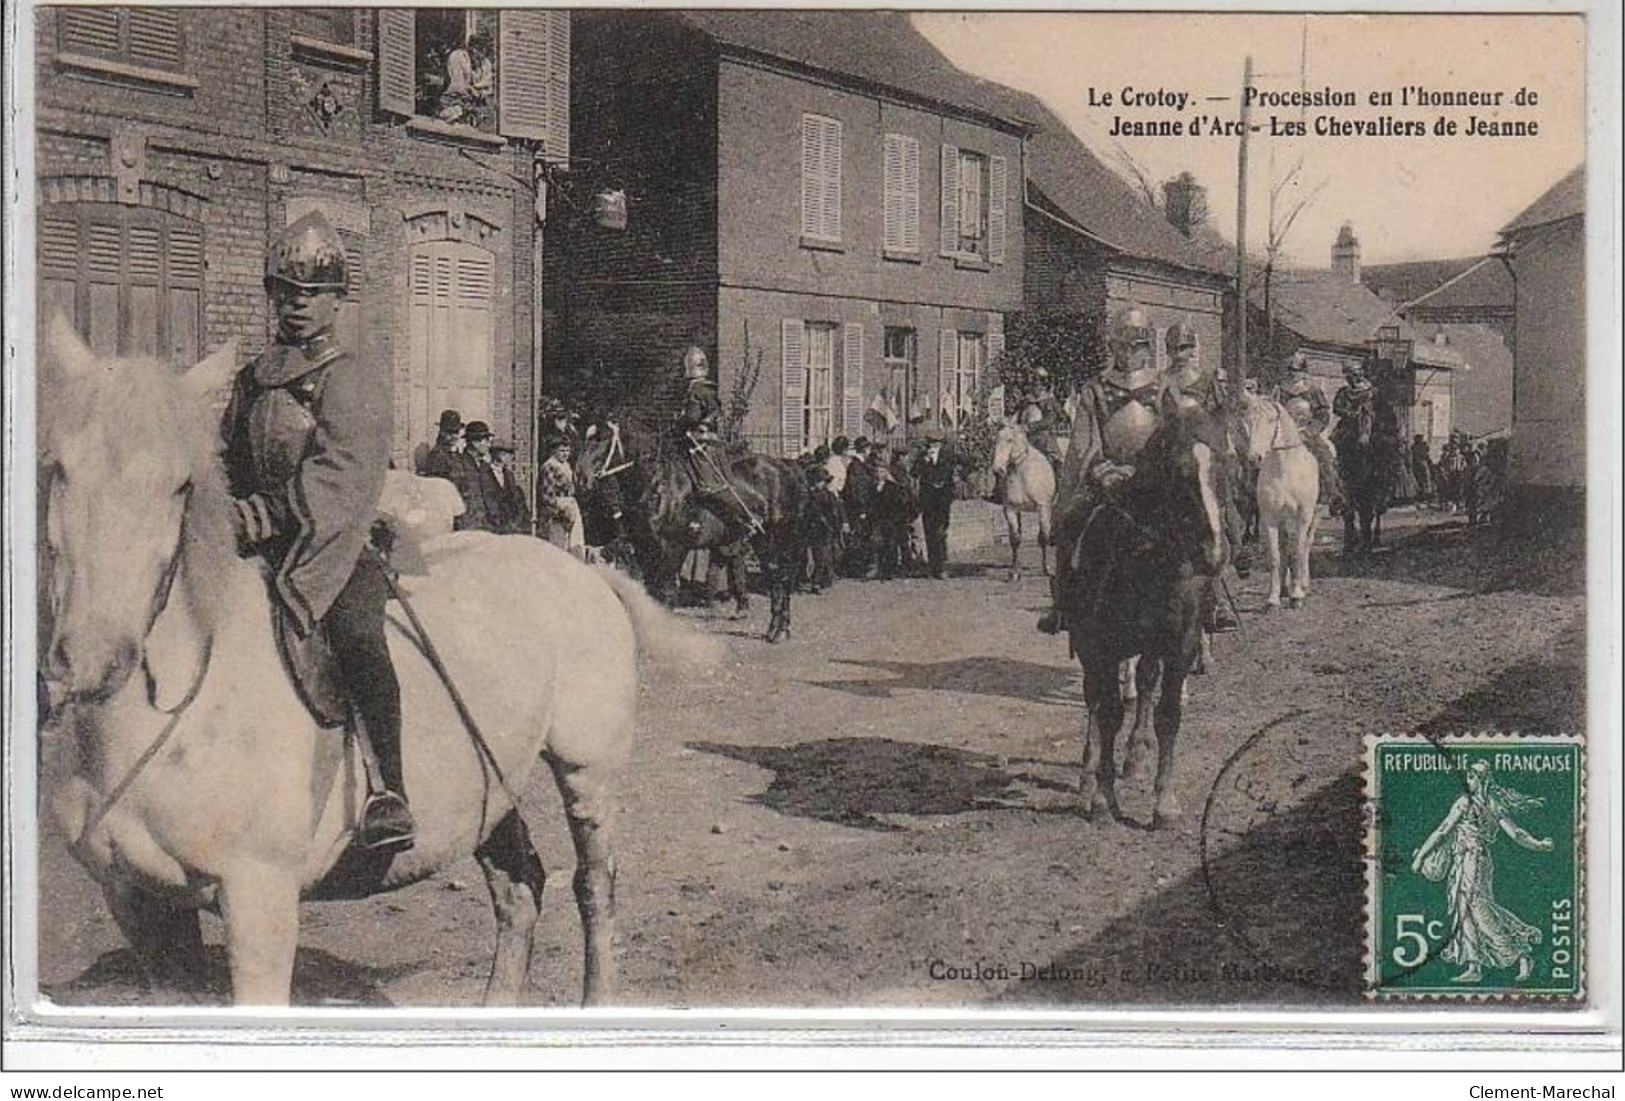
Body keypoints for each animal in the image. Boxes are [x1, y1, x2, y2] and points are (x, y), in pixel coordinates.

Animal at [34, 321, 711, 1006]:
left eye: (180, 486)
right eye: (58, 469)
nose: (91, 660)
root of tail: (584, 570)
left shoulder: (259, 901)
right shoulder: (139, 906)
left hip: (588, 773)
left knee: (594, 886)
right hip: (491, 786)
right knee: (520, 885)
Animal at [578, 425, 806, 646]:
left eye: (603, 440)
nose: (580, 476)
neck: (656, 487)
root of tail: (787, 470)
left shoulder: (673, 548)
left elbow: (665, 592)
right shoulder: (645, 551)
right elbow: (652, 591)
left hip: (779, 537)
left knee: (783, 577)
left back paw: (779, 631)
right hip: (762, 540)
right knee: (775, 576)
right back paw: (776, 629)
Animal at [988, 418, 1053, 587]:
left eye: (1010, 440)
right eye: (996, 440)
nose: (998, 469)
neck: (1022, 474)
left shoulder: (1043, 508)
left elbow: (1043, 537)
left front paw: (1046, 569)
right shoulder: (1010, 509)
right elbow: (1015, 539)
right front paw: (1015, 573)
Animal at [1053, 396, 1228, 828]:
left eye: (1223, 466)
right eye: (1181, 472)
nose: (1214, 554)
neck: (1147, 559)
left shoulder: (1180, 646)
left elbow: (1167, 713)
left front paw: (1164, 801)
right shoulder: (1102, 647)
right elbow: (1109, 713)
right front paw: (1102, 797)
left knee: (1145, 684)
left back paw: (1135, 754)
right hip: (1088, 645)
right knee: (1095, 701)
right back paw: (1089, 777)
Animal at [1241, 392, 1319, 607]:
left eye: (1271, 420)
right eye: (1248, 419)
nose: (1254, 458)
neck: (1285, 470)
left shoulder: (1303, 516)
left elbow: (1298, 550)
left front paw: (1297, 595)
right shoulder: (1270, 518)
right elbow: (1275, 556)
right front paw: (1273, 597)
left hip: (1314, 516)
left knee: (1306, 545)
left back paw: (1304, 584)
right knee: (1284, 548)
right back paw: (1285, 587)